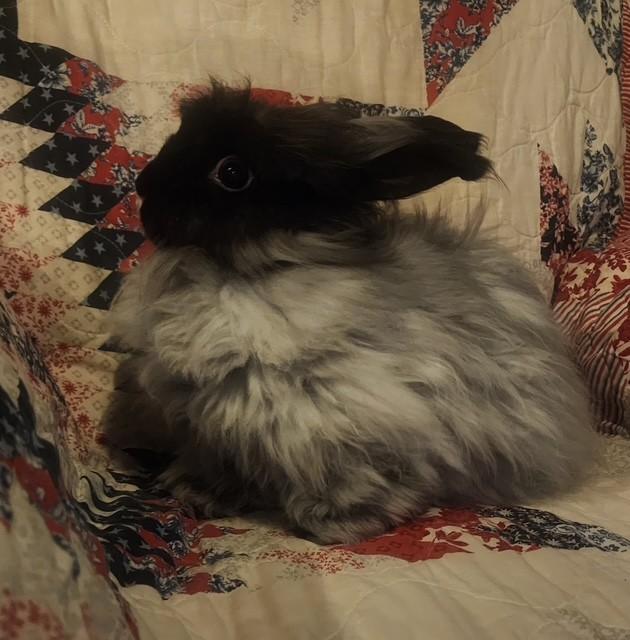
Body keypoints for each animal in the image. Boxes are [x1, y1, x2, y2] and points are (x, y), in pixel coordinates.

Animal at [107, 80, 596, 544]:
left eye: (231, 172)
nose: (143, 185)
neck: (249, 271)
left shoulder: (354, 421)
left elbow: (358, 479)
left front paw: (335, 523)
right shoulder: (216, 427)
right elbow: (221, 465)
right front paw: (196, 492)